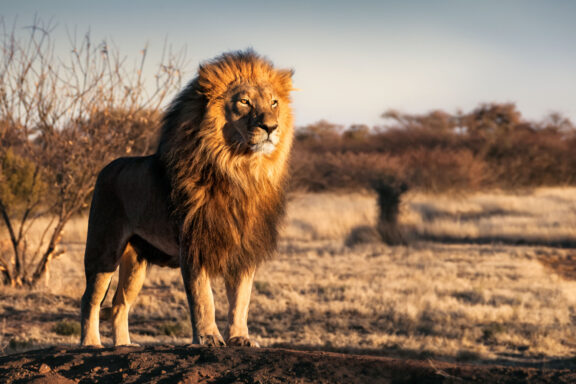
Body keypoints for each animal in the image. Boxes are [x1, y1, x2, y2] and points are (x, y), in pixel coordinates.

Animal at [80, 49, 294, 346]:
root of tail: (107, 167)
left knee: (119, 303)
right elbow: (204, 298)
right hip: (103, 250)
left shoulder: (244, 248)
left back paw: (123, 345)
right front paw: (208, 338)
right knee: (90, 299)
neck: (240, 171)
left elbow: (241, 299)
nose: (271, 127)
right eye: (244, 101)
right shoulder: (193, 243)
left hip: (136, 262)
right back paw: (90, 343)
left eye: (274, 103)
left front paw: (240, 337)